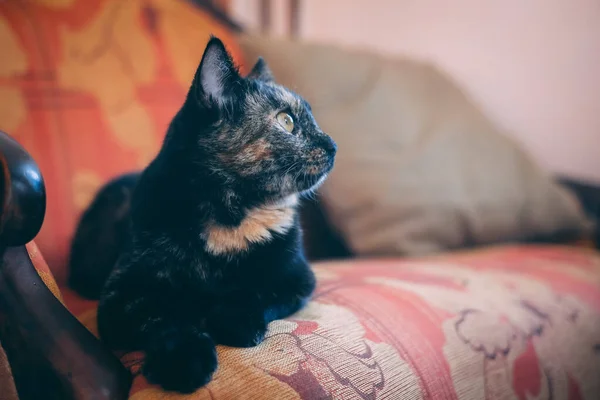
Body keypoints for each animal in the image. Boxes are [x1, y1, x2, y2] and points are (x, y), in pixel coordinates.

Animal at [68, 35, 338, 394]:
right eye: (286, 121)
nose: (333, 145)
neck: (232, 216)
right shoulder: (119, 299)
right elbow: (165, 315)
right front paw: (185, 359)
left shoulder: (296, 278)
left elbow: (257, 290)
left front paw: (234, 318)